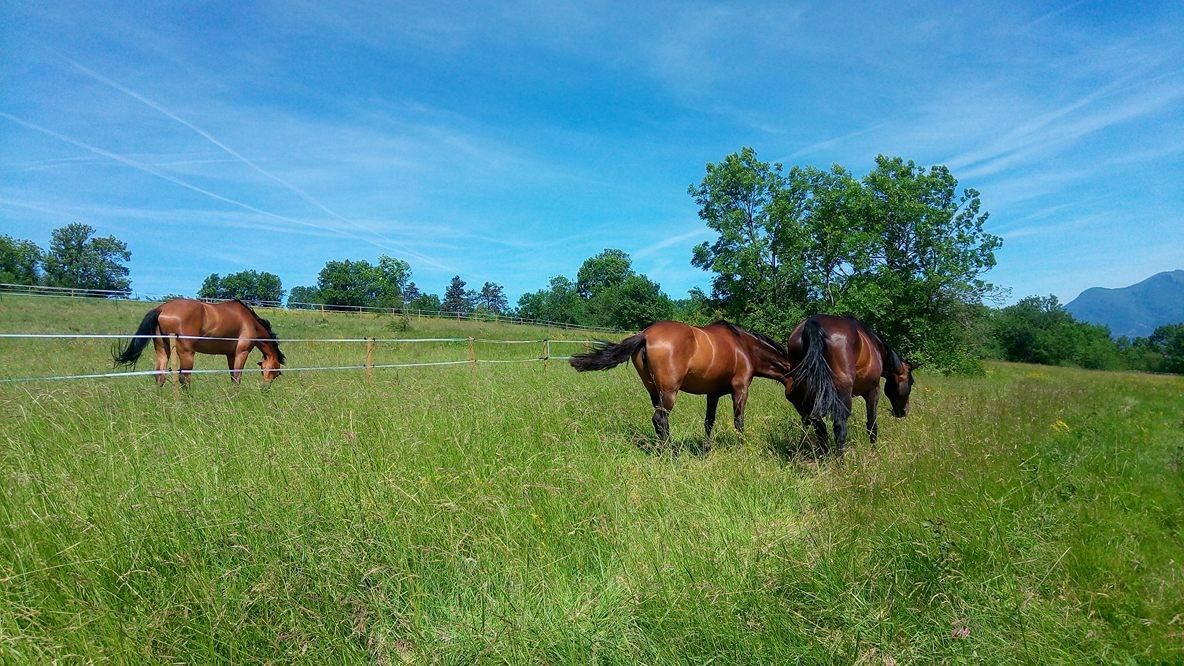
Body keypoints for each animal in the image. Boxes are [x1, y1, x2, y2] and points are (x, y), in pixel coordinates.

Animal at [112, 299, 286, 386]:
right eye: (275, 373)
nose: (265, 388)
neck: (249, 322)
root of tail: (161, 309)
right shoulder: (241, 353)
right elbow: (237, 378)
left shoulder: (230, 355)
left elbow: (232, 377)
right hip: (187, 354)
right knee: (184, 378)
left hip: (162, 350)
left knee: (160, 376)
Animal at [568, 319, 790, 440]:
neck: (744, 348)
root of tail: (645, 335)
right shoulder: (741, 389)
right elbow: (739, 422)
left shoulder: (713, 394)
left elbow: (708, 422)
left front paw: (706, 448)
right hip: (669, 393)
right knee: (660, 419)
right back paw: (672, 453)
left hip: (654, 392)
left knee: (660, 422)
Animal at [786, 312, 914, 452]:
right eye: (911, 382)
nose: (904, 411)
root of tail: (812, 323)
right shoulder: (873, 390)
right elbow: (872, 424)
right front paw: (874, 450)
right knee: (839, 427)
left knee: (819, 426)